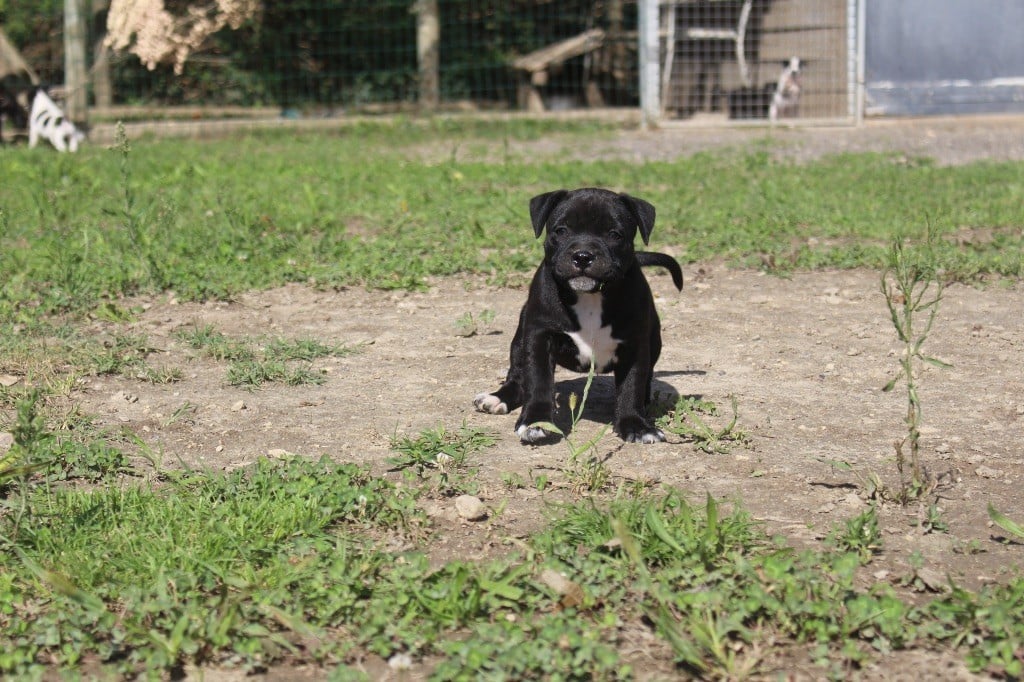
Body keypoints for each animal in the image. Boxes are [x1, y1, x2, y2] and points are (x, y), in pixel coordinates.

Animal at [475, 187, 684, 440]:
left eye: (614, 234)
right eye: (561, 231)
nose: (583, 256)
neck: (590, 297)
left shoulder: (635, 345)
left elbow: (631, 384)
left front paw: (635, 424)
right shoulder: (539, 337)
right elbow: (538, 381)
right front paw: (536, 421)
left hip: (654, 341)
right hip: (520, 337)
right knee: (517, 375)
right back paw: (498, 398)